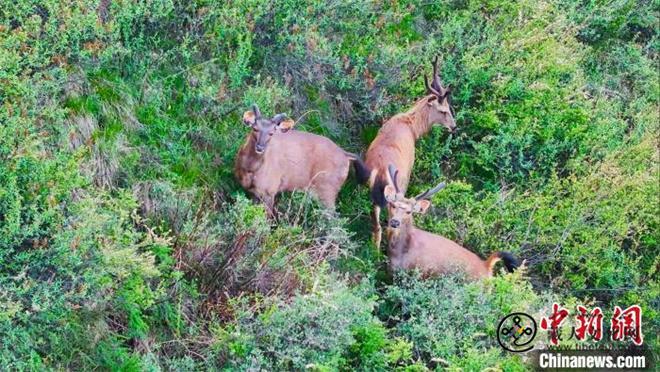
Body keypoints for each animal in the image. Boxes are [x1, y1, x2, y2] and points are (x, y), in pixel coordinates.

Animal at [235, 104, 368, 215]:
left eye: (271, 133)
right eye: (255, 128)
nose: (260, 147)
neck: (250, 169)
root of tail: (345, 155)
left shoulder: (270, 189)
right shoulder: (253, 192)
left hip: (327, 189)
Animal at [360, 56, 458, 248]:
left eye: (449, 107)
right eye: (443, 110)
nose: (454, 126)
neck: (413, 128)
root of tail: (381, 172)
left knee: (376, 227)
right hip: (397, 192)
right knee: (388, 226)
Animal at [382, 165, 520, 280]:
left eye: (409, 211)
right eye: (392, 205)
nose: (395, 222)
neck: (399, 253)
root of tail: (486, 267)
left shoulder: (420, 274)